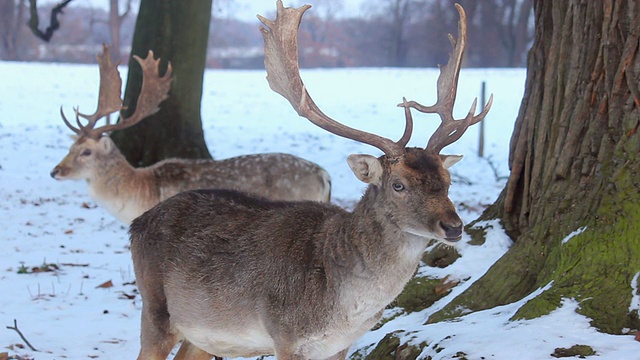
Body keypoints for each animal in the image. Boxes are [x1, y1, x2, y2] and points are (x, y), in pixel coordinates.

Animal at [127, 1, 492, 358]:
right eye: (398, 184)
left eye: (447, 180)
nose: (453, 226)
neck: (344, 308)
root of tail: (137, 223)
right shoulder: (286, 335)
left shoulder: (340, 345)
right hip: (155, 306)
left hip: (205, 335)